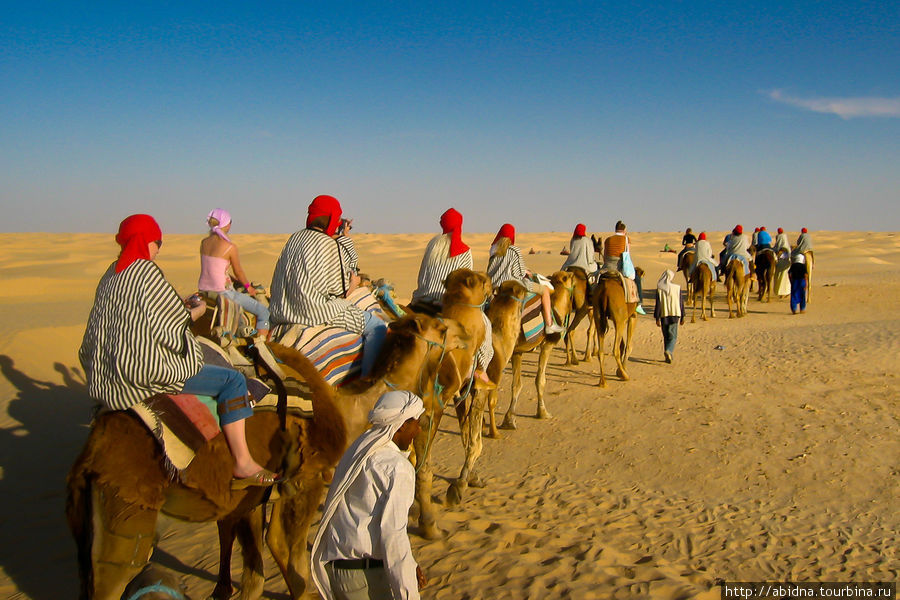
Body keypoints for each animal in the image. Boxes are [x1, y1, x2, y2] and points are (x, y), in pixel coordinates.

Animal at [67, 312, 468, 596]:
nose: (464, 333)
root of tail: (91, 457)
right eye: (440, 327)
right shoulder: (305, 480)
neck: (346, 410)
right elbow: (293, 560)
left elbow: (256, 575)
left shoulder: (250, 496)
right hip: (127, 514)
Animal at [496, 270, 572, 432]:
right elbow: (540, 380)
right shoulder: (547, 345)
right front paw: (543, 412)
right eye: (570, 277)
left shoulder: (517, 352)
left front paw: (509, 420)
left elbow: (516, 384)